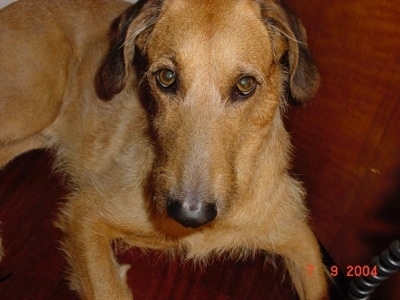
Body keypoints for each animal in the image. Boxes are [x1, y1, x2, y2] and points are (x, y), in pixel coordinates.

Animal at [0, 0, 328, 298]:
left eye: (245, 84)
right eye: (166, 77)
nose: (189, 214)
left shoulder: (300, 238)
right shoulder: (85, 214)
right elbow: (107, 289)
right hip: (34, 107)